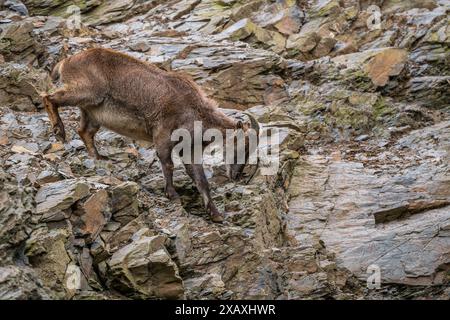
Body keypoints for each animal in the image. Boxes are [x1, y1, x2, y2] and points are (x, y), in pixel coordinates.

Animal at [43, 47, 260, 222]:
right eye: (243, 146)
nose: (237, 175)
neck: (196, 110)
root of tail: (66, 62)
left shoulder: (189, 149)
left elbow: (201, 180)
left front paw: (216, 214)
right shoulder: (163, 133)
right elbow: (168, 163)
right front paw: (172, 194)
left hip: (92, 112)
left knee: (84, 131)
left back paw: (97, 157)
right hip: (87, 91)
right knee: (49, 97)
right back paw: (59, 130)